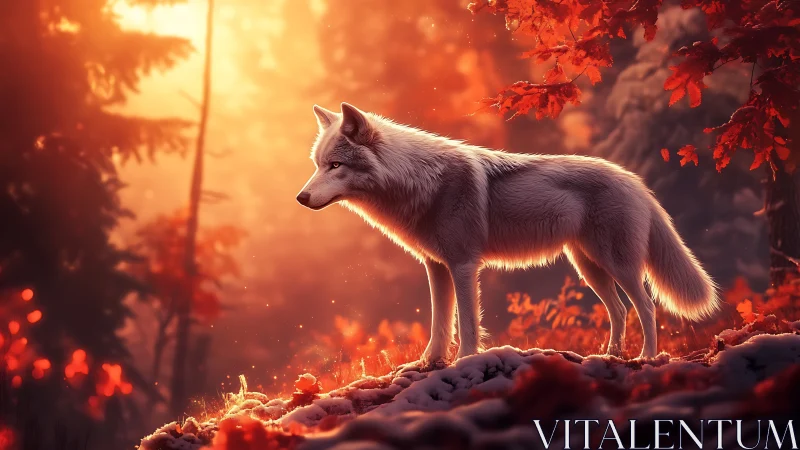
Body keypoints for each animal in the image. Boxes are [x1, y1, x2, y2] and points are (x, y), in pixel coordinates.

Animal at [297, 102, 719, 365]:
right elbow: (439, 322)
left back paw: (647, 357)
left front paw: (464, 361)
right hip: (589, 267)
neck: (420, 182)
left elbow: (467, 323)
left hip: (618, 265)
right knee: (620, 309)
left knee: (646, 306)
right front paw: (428, 363)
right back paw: (611, 355)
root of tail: (635, 180)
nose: (301, 198)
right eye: (318, 164)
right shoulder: (436, 267)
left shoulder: (464, 265)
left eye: (335, 165)